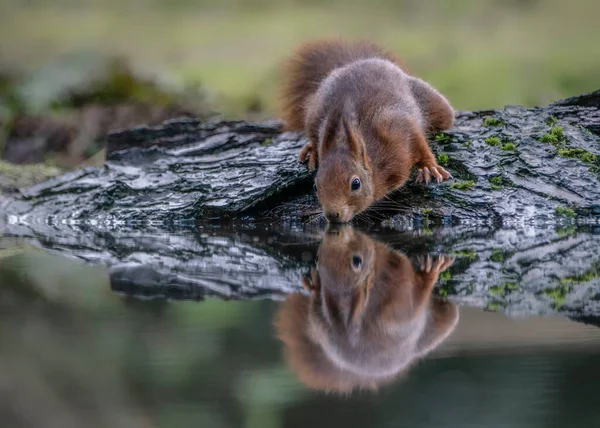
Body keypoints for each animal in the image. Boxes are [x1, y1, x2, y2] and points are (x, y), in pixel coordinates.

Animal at [274, 227, 458, 394]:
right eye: (357, 261)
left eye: (318, 259)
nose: (338, 233)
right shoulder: (402, 303)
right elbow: (420, 292)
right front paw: (430, 273)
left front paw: (316, 285)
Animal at [282, 39, 454, 224]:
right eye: (315, 185)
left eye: (356, 184)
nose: (332, 215)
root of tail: (359, 61)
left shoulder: (396, 127)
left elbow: (419, 143)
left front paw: (428, 167)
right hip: (314, 111)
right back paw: (313, 149)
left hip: (433, 104)